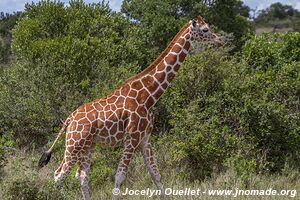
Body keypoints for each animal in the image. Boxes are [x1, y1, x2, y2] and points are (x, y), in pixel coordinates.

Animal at [38, 14, 223, 199]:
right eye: (205, 29)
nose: (220, 40)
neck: (149, 96)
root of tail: (69, 119)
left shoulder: (145, 139)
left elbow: (156, 174)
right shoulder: (132, 138)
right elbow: (120, 176)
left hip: (88, 146)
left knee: (81, 175)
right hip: (73, 144)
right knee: (59, 174)